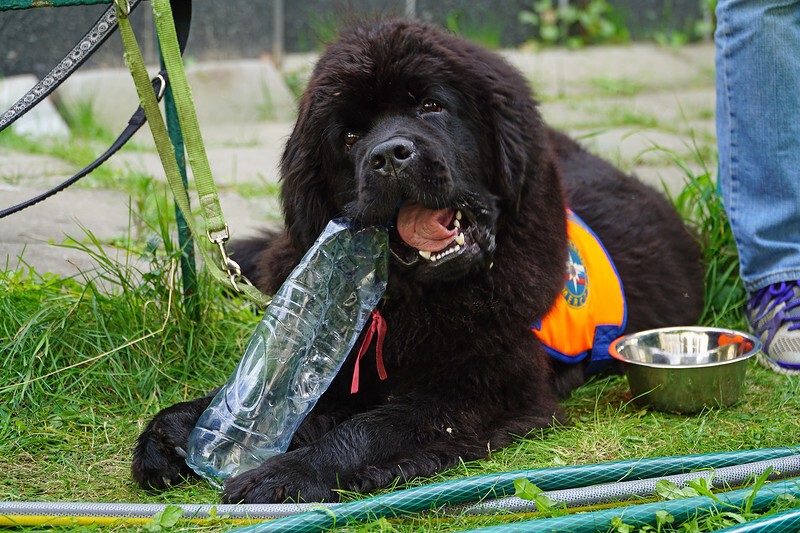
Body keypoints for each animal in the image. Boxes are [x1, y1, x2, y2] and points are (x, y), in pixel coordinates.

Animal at [134, 19, 704, 502]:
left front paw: (287, 473)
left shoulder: (483, 386)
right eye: (349, 136)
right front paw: (173, 431)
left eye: (431, 106)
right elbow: (257, 395)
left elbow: (374, 428)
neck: (416, 299)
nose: (389, 155)